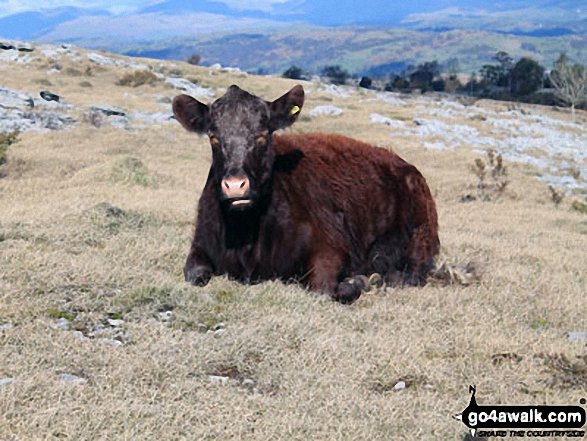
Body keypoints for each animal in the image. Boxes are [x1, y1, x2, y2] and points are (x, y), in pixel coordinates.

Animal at [172, 84, 438, 302]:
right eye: (213, 137)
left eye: (262, 135)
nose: (236, 185)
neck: (245, 234)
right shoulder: (201, 243)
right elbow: (194, 273)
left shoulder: (330, 247)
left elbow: (323, 289)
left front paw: (358, 281)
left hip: (421, 236)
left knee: (412, 273)